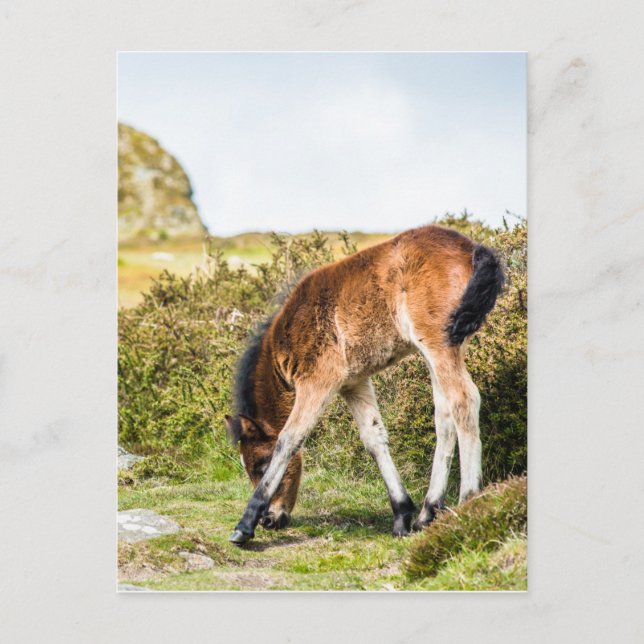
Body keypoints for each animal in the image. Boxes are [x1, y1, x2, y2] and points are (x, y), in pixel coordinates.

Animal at [224, 224, 505, 545]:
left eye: (262, 464)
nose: (271, 520)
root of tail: (472, 248)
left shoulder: (318, 380)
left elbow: (289, 438)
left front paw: (244, 526)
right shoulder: (354, 382)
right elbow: (374, 438)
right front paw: (401, 515)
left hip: (439, 343)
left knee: (463, 401)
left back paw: (468, 502)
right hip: (443, 347)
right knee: (445, 417)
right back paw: (427, 513)